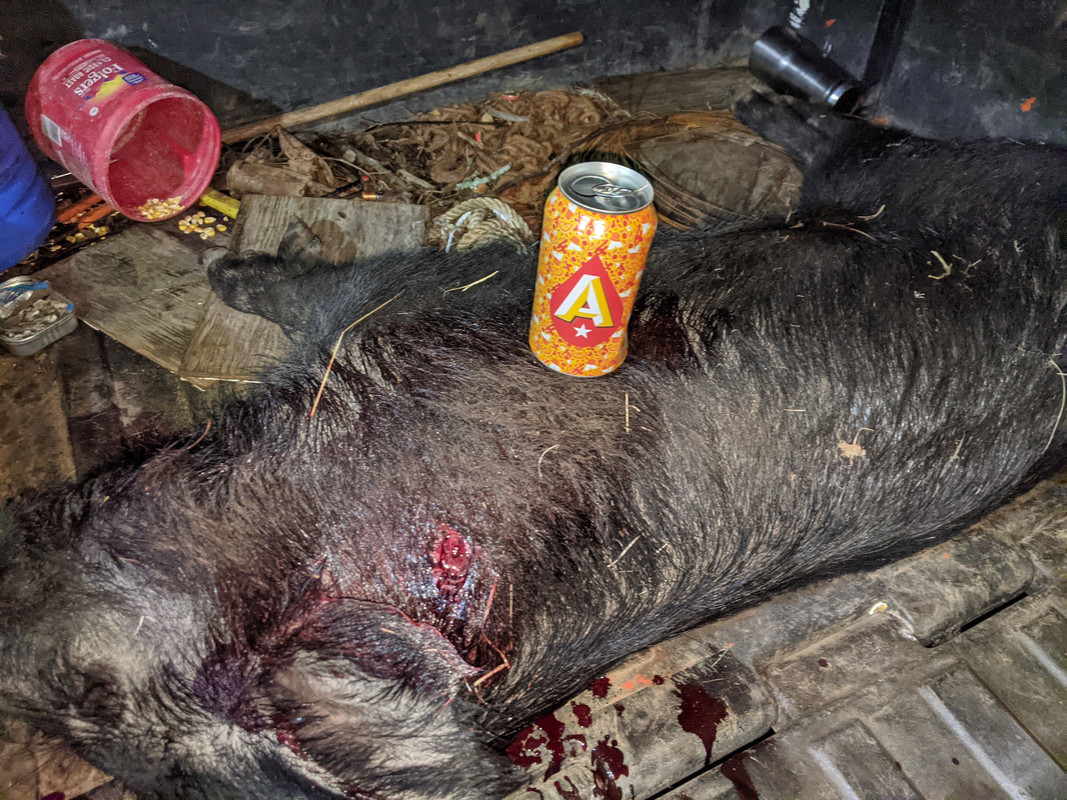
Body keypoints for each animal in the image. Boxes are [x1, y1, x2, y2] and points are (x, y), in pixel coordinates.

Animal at [1, 98, 1065, 799]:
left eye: (87, 692)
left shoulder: (419, 303)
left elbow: (328, 284)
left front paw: (232, 266)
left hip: (937, 171)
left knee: (869, 143)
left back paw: (769, 106)